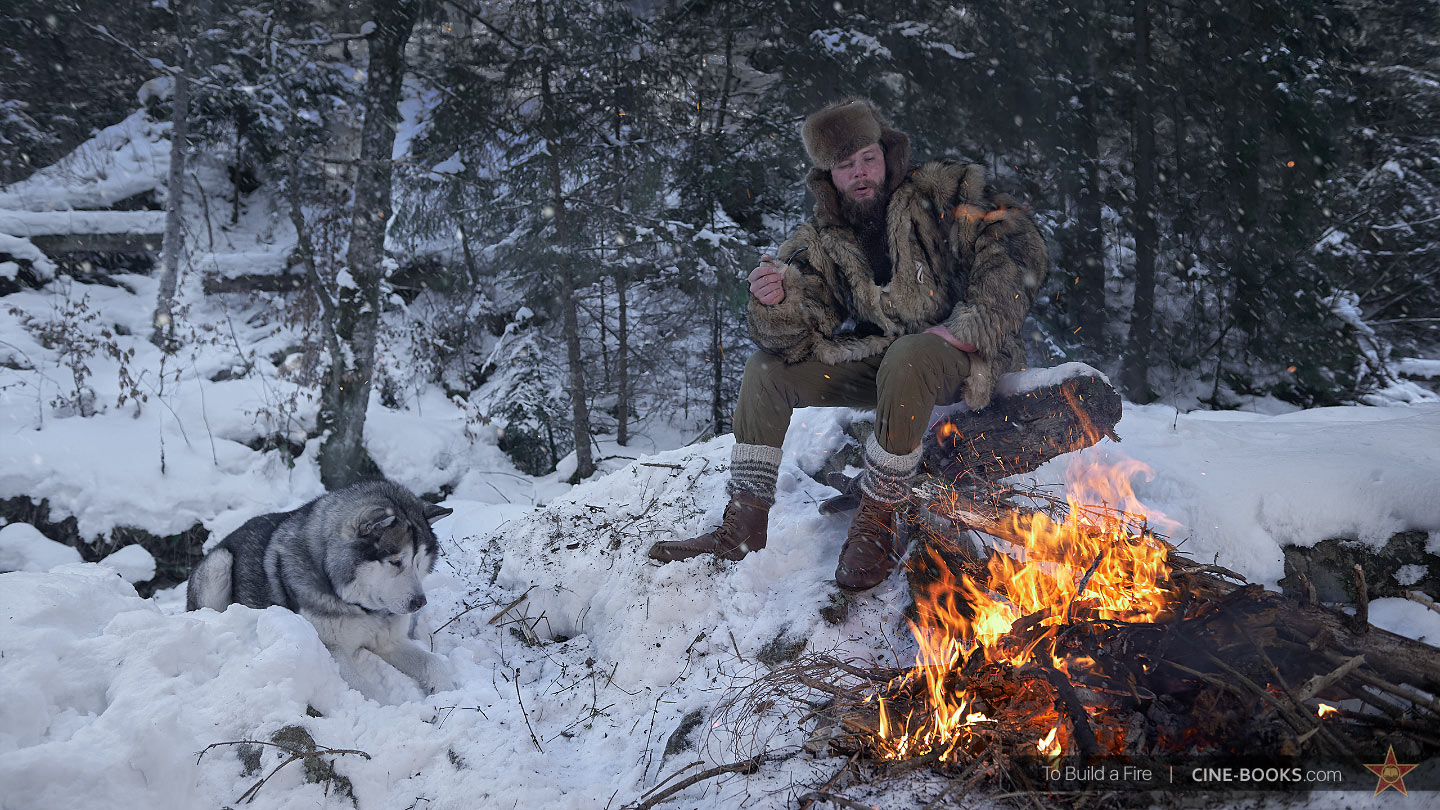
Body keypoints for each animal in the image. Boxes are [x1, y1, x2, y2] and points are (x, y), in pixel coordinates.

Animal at [187, 475, 455, 697]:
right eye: (395, 561)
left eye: (419, 561)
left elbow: (433, 662)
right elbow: (367, 689)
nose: (419, 602)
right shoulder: (329, 649)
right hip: (219, 562)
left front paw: (445, 695)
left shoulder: (388, 641)